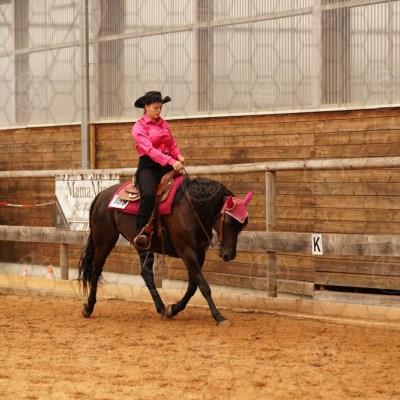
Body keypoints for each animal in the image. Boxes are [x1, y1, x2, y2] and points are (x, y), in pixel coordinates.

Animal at [78, 177, 253, 325]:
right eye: (228, 222)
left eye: (242, 225)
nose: (229, 255)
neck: (191, 208)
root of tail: (101, 195)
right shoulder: (187, 252)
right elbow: (204, 286)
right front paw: (218, 316)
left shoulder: (199, 254)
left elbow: (193, 286)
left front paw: (173, 309)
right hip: (104, 241)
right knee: (96, 270)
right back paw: (89, 307)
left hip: (143, 245)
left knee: (147, 274)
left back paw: (161, 308)